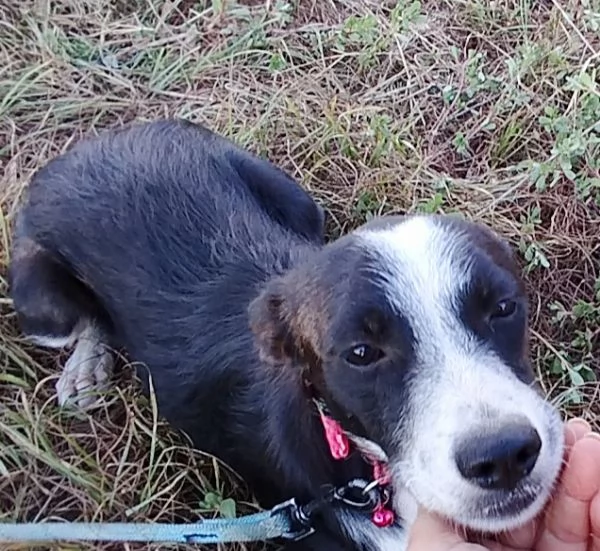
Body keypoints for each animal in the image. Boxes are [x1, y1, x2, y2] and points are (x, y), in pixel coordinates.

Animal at [7, 121, 564, 551]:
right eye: (361, 352)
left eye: (503, 308)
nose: (505, 456)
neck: (368, 475)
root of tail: (86, 147)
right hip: (39, 299)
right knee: (85, 320)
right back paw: (86, 369)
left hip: (296, 201)